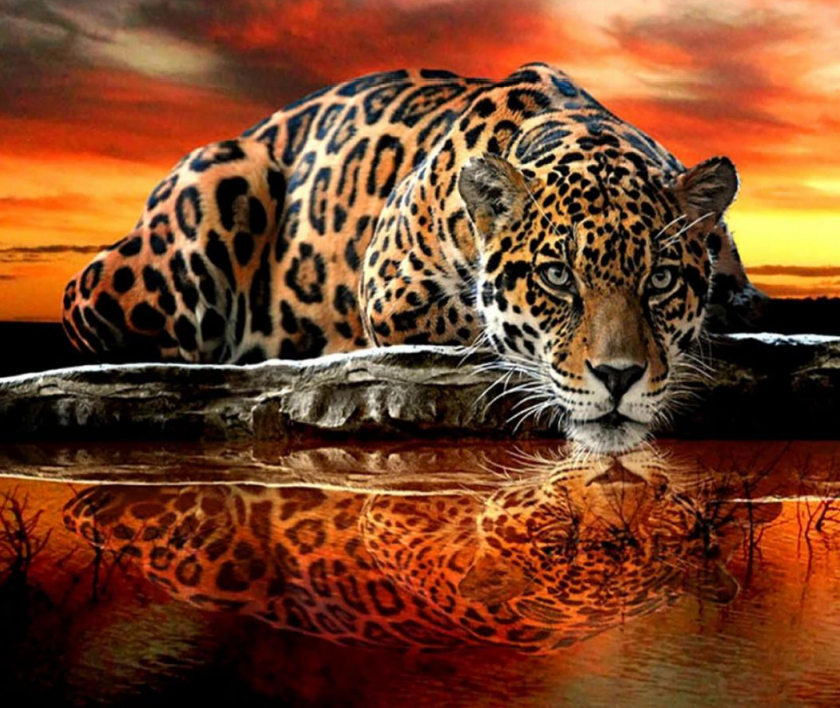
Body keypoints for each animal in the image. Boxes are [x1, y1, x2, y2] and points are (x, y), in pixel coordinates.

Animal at [61, 62, 766, 452]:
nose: (619, 378)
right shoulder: (391, 289)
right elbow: (480, 324)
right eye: (556, 278)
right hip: (217, 184)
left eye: (661, 279)